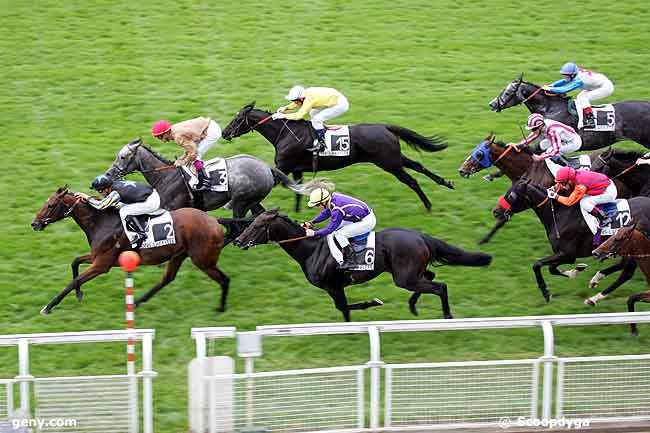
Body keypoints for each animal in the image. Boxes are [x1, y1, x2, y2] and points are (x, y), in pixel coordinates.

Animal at [33, 186, 232, 314]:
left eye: (50, 205)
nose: (34, 224)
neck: (102, 223)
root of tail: (214, 221)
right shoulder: (97, 257)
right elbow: (75, 262)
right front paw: (79, 293)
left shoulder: (101, 265)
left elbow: (73, 281)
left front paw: (49, 307)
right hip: (179, 254)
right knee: (167, 279)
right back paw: (136, 302)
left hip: (203, 260)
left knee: (224, 279)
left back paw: (221, 308)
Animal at [104, 138, 292, 216]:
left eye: (123, 157)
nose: (109, 174)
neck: (166, 176)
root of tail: (267, 168)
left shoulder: (173, 208)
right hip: (252, 201)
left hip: (241, 202)